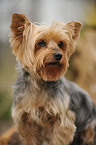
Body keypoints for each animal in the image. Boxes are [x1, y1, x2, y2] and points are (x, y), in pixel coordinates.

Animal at [9, 13, 95, 144]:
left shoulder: (62, 121)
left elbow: (58, 138)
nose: (59, 55)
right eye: (40, 43)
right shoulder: (24, 120)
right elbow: (30, 138)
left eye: (61, 44)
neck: (40, 80)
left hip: (89, 128)